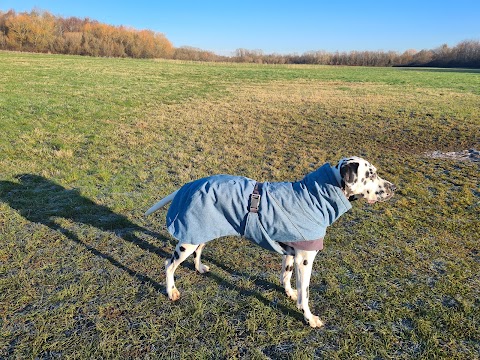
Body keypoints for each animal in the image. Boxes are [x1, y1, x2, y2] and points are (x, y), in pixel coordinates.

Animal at [147, 156, 398, 328]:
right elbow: (306, 293)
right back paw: (171, 291)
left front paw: (290, 294)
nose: (393, 187)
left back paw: (199, 268)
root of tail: (189, 184)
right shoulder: (305, 260)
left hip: (202, 230)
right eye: (371, 174)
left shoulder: (291, 255)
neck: (316, 196)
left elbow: (286, 277)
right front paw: (309, 317)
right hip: (187, 242)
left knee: (199, 250)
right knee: (169, 265)